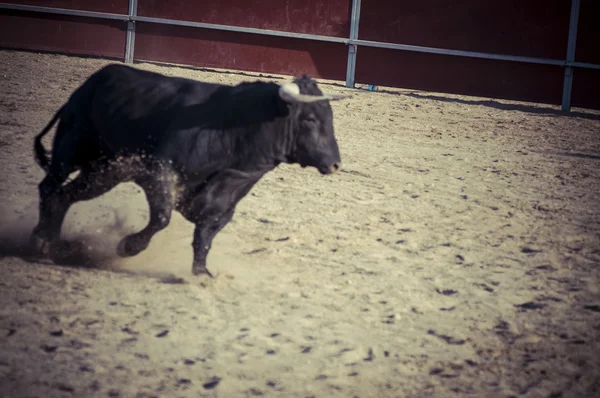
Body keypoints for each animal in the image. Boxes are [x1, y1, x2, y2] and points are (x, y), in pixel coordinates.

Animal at [29, 65, 346, 276]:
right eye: (310, 119)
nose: (335, 164)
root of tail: (93, 80)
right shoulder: (160, 173)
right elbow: (161, 218)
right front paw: (128, 246)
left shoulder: (224, 206)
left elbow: (204, 239)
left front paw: (201, 274)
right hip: (72, 148)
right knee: (50, 188)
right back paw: (40, 242)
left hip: (104, 170)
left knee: (67, 196)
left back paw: (55, 246)